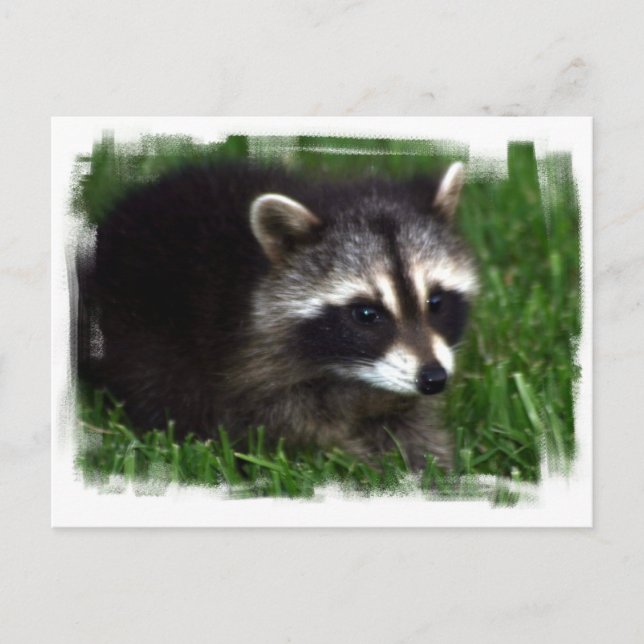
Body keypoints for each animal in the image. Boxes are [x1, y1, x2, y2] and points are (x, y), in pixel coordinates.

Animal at [82, 159, 477, 470]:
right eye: (366, 313)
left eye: (436, 302)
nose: (433, 379)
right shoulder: (249, 365)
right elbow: (289, 431)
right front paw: (357, 461)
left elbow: (410, 424)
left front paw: (430, 467)